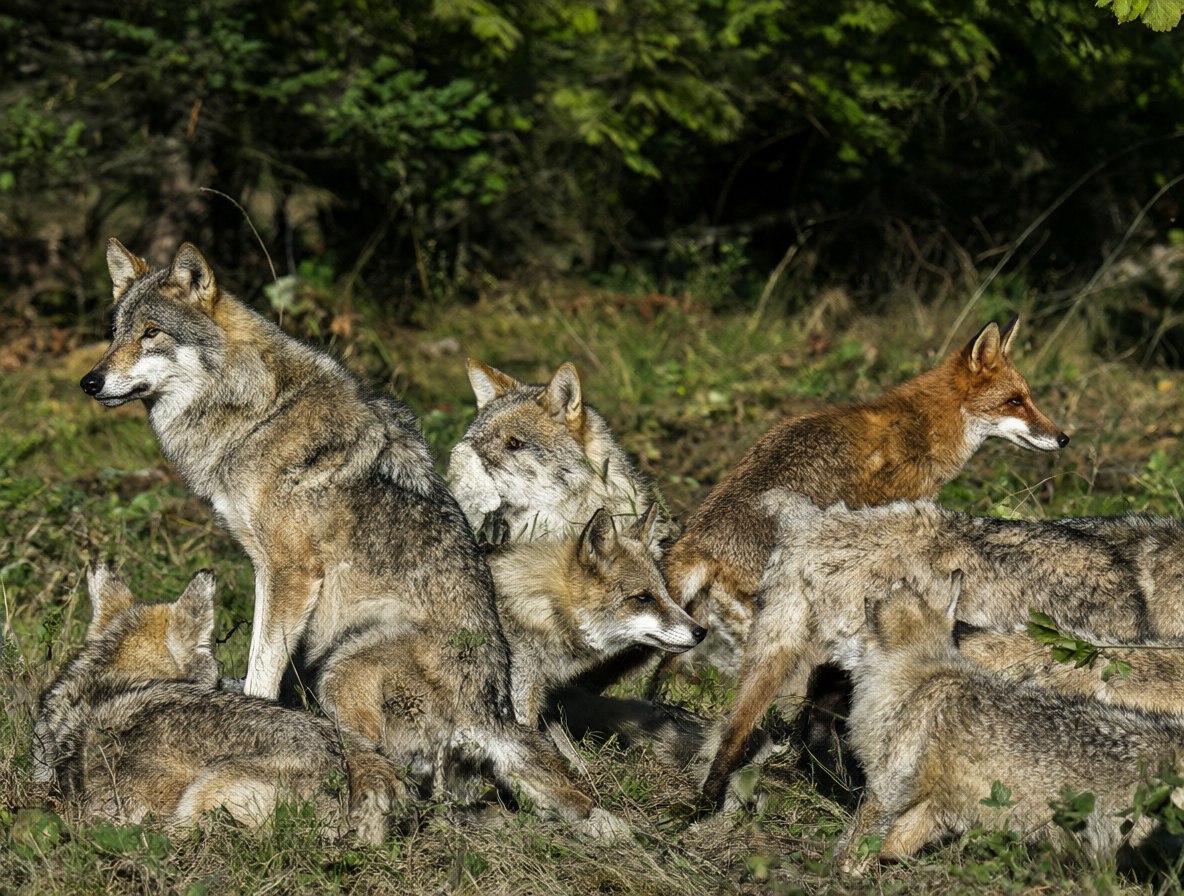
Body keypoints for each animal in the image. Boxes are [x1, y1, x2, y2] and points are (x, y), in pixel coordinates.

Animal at [79, 240, 611, 834]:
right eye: (115, 332)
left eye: (152, 332)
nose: (89, 382)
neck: (258, 412)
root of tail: (488, 717)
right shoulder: (265, 569)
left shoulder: (291, 571)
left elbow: (261, 673)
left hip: (343, 663)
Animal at [844, 574, 1184, 864]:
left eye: (889, 592)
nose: (876, 589)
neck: (922, 676)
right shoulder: (931, 808)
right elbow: (890, 848)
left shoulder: (886, 794)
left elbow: (851, 853)